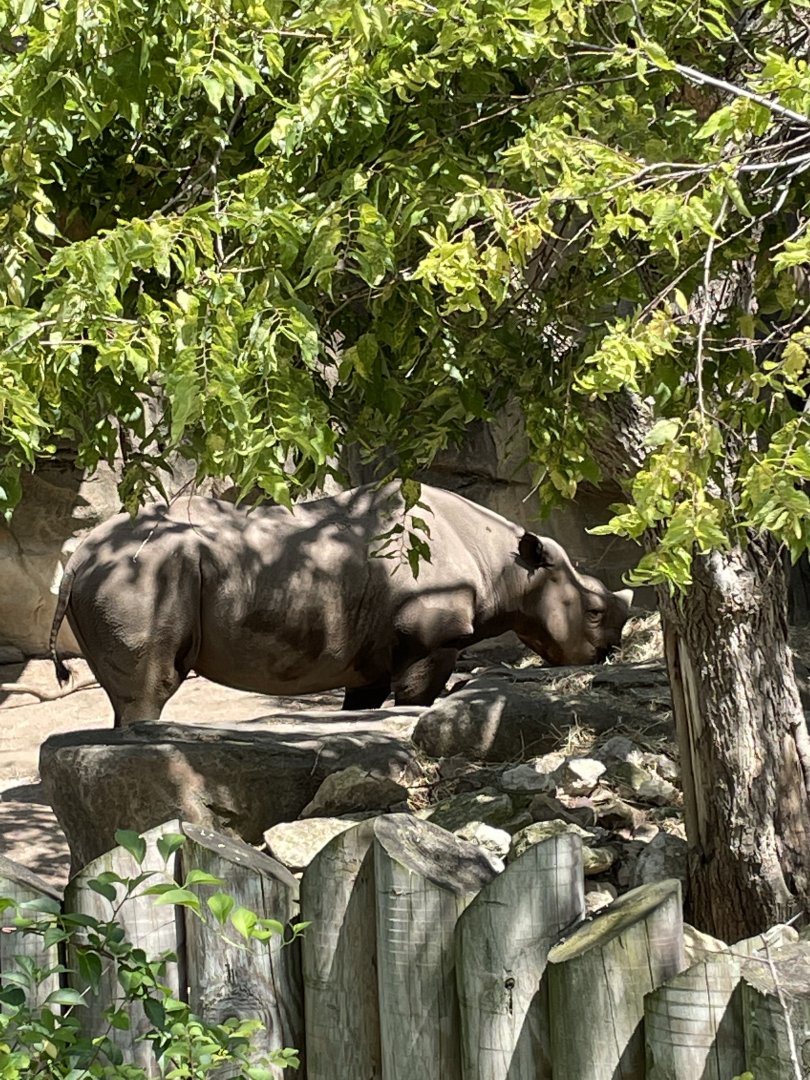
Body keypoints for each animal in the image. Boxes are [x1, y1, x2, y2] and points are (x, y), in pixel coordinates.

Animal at [49, 482, 633, 727]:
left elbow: (363, 707)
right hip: (139, 576)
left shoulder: (369, 652)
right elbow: (417, 699)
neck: (508, 564)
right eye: (594, 613)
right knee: (151, 686)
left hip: (119, 578)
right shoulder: (432, 636)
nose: (609, 654)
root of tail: (77, 559)